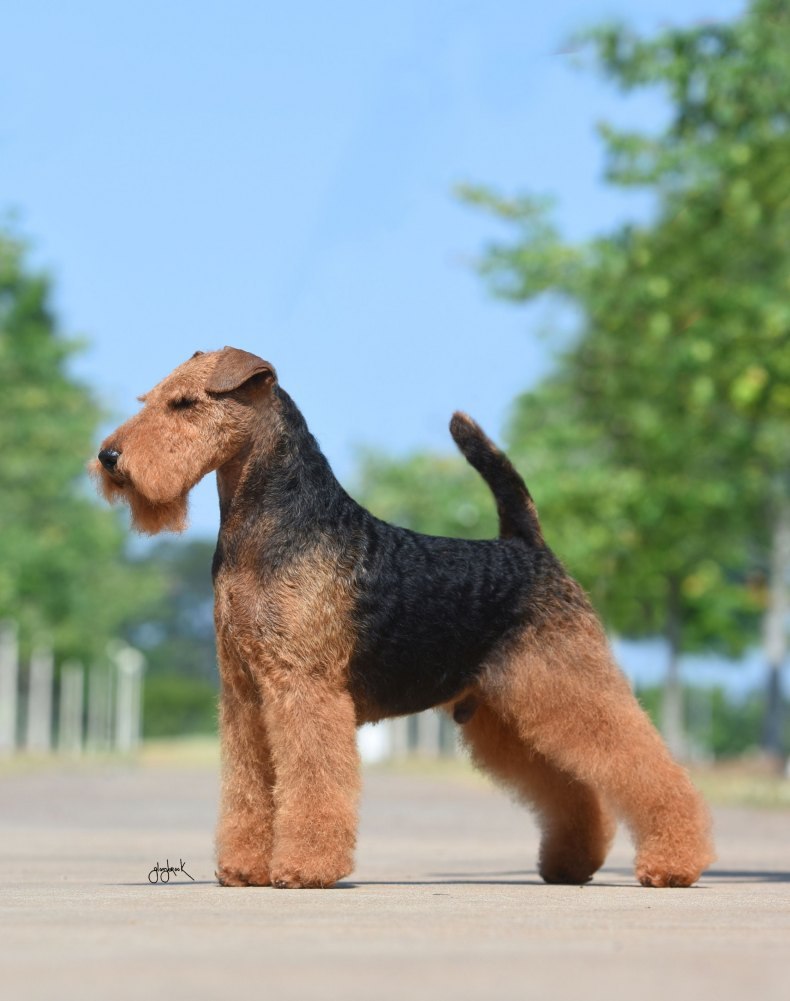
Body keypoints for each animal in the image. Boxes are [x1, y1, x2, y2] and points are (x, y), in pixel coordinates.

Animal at [92, 348, 716, 888]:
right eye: (152, 399)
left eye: (184, 404)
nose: (109, 458)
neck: (269, 529)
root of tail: (528, 545)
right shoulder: (246, 693)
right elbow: (249, 788)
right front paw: (246, 869)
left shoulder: (303, 687)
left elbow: (313, 780)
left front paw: (304, 869)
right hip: (508, 711)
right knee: (571, 790)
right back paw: (570, 865)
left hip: (567, 682)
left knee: (646, 767)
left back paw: (673, 864)